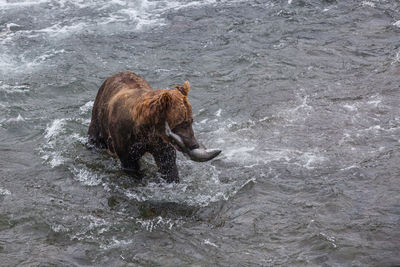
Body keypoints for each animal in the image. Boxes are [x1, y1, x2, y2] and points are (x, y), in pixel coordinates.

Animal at [88, 70, 222, 183]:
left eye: (191, 120)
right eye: (183, 123)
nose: (195, 145)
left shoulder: (159, 142)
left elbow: (167, 164)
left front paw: (171, 179)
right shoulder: (125, 138)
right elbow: (130, 164)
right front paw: (140, 176)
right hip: (98, 115)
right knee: (95, 137)